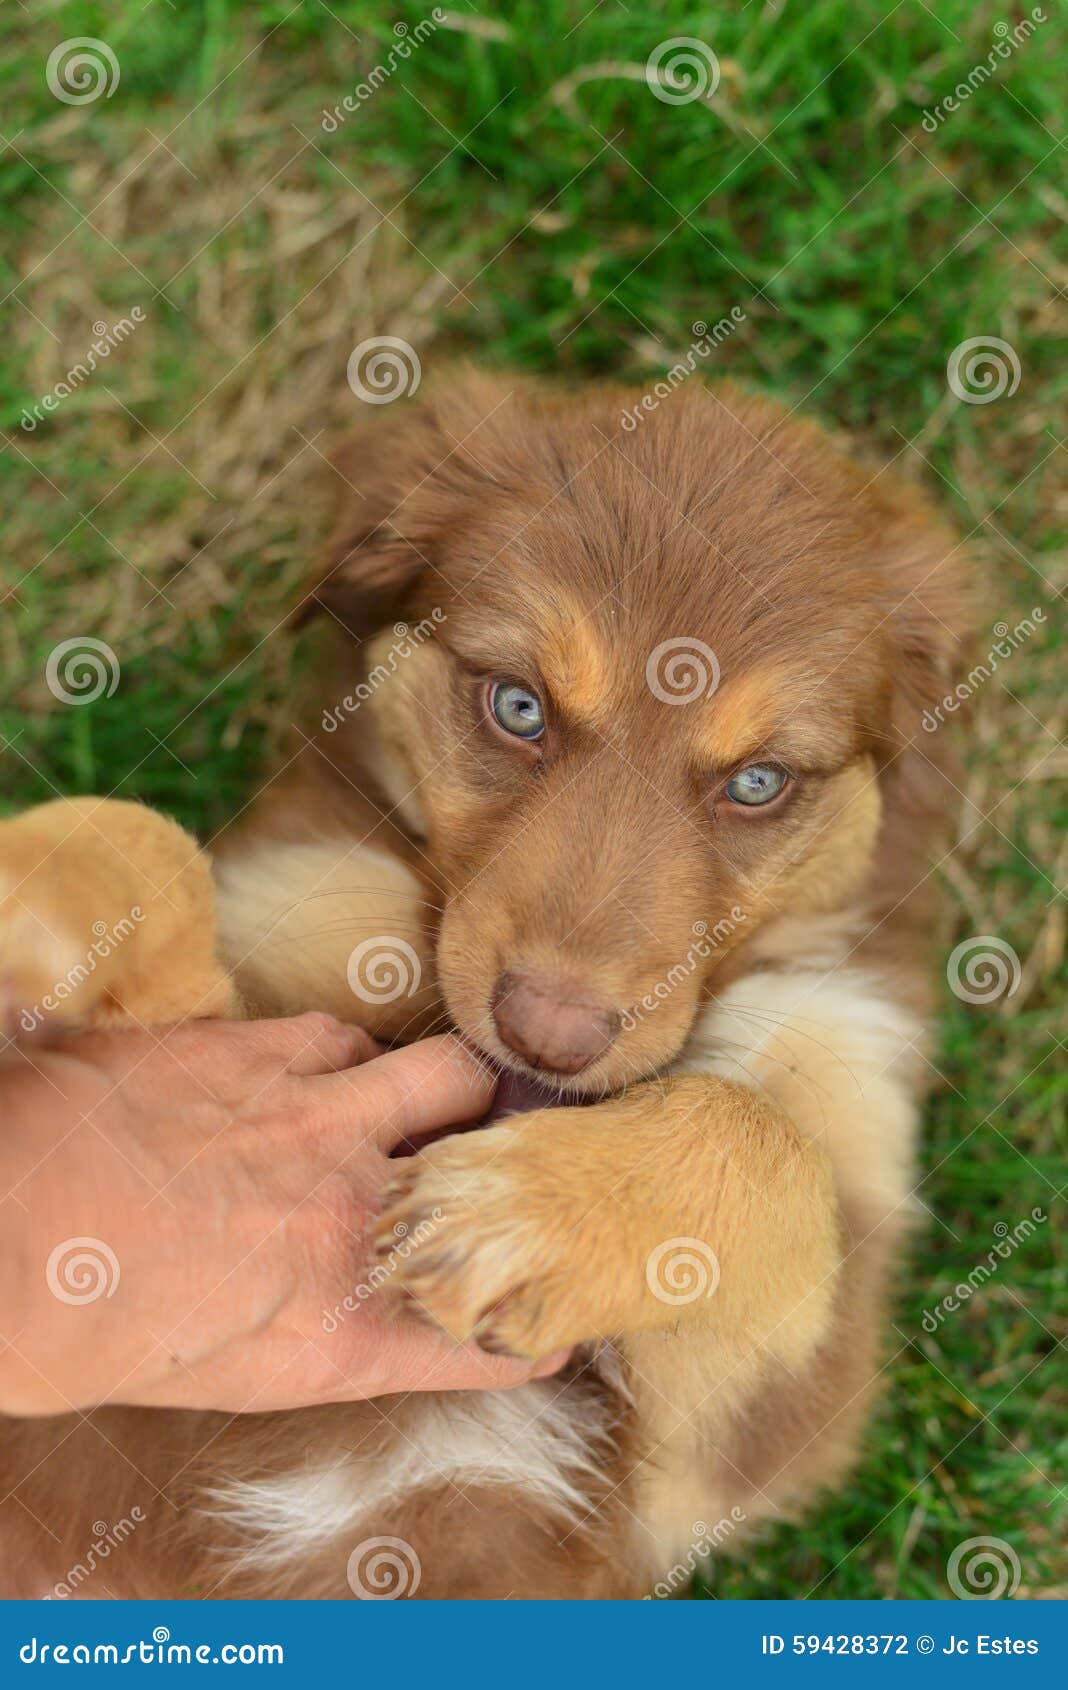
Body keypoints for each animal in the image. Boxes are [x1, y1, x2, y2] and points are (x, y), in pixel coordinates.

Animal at [0, 373, 973, 1595]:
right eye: (517, 706)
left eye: (759, 783)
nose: (548, 1036)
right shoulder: (284, 931)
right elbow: (155, 853)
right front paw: (35, 902)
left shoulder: (749, 1427)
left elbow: (769, 1141)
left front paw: (523, 1213)